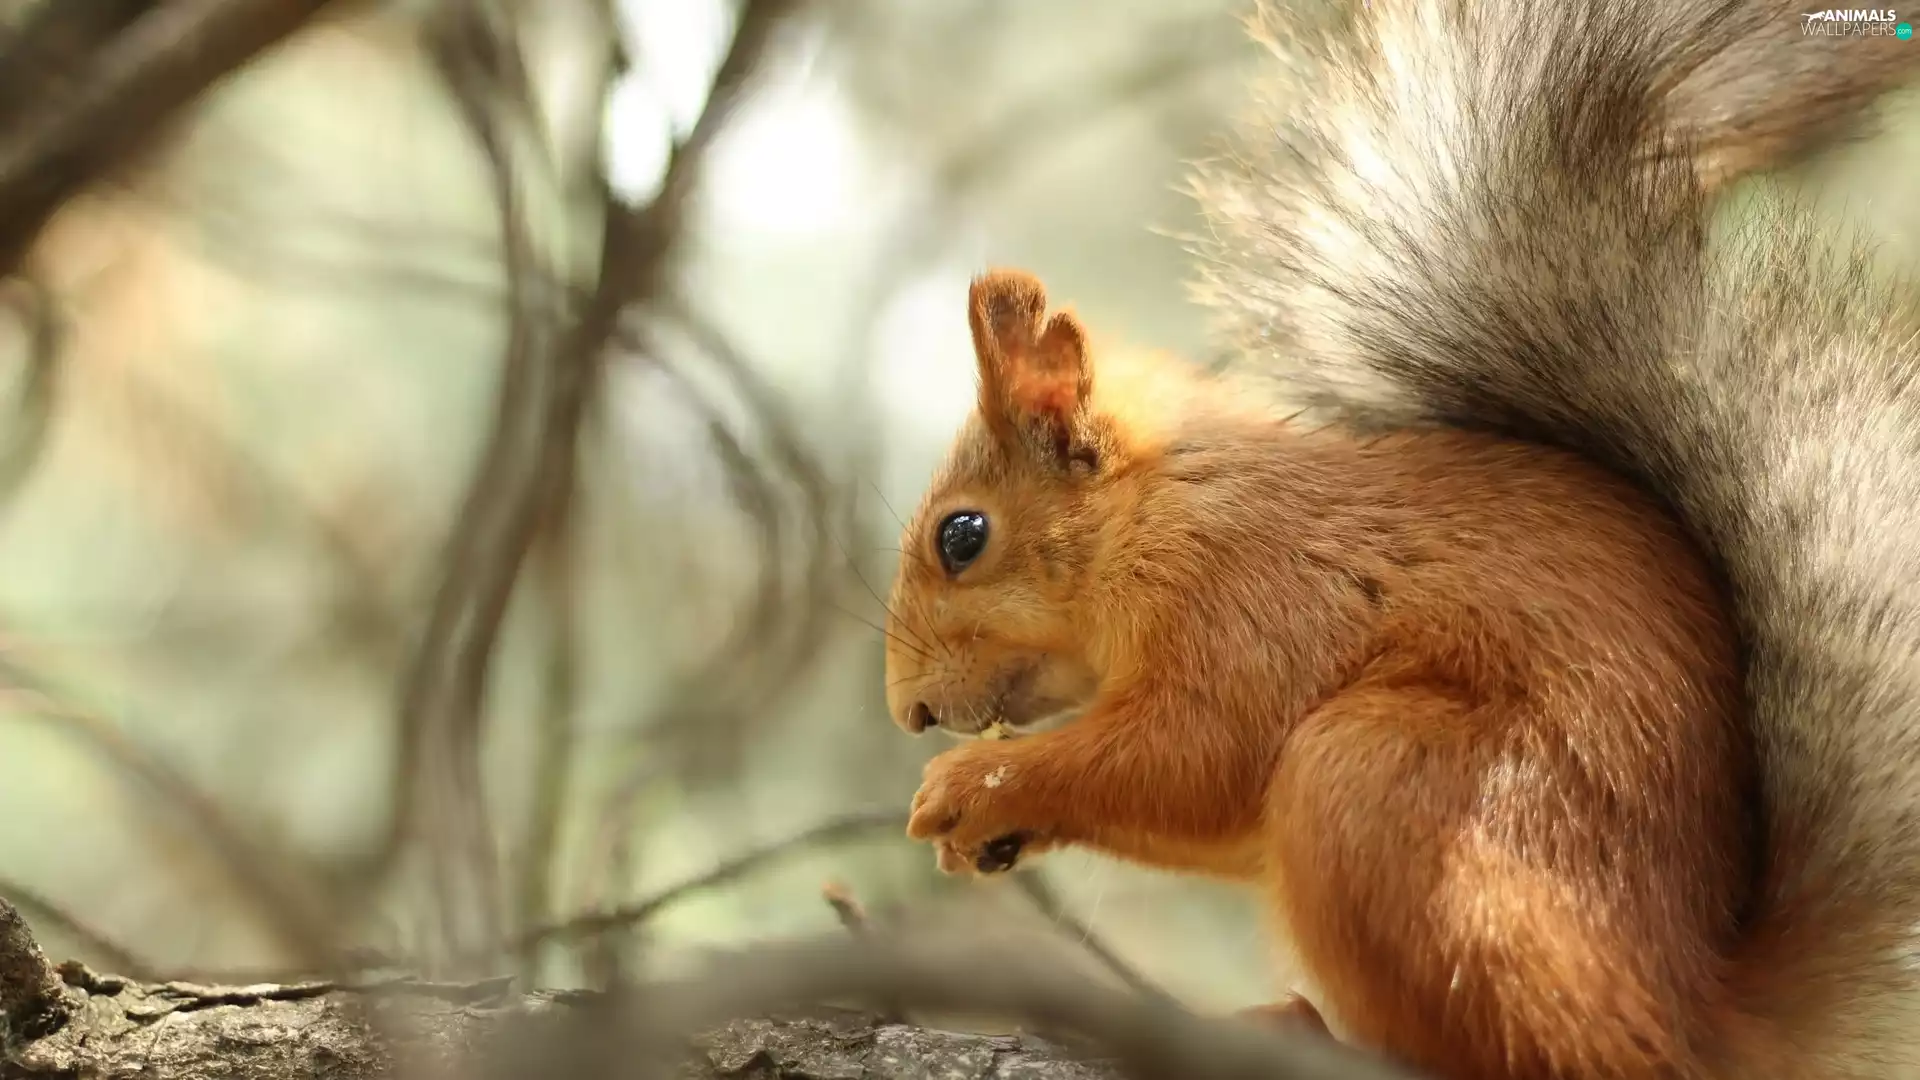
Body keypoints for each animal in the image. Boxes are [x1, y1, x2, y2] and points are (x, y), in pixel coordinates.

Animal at [882, 1, 1920, 1078]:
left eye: (963, 536)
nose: (910, 711)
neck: (1154, 508)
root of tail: (1694, 1015)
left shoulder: (1248, 594)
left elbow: (1195, 757)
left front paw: (977, 783)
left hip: (1386, 789)